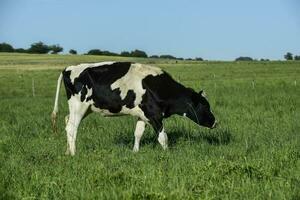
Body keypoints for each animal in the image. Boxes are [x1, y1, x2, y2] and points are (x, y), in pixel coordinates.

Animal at [51, 61, 216, 155]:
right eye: (204, 106)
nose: (215, 122)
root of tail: (68, 68)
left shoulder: (143, 115)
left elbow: (138, 133)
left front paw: (135, 152)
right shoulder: (155, 115)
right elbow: (163, 137)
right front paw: (168, 154)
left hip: (85, 108)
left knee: (67, 120)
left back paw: (67, 151)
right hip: (79, 105)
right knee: (71, 128)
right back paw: (74, 153)